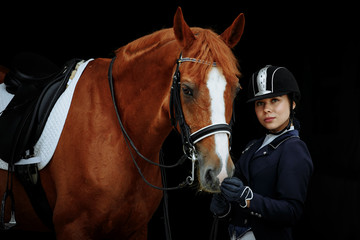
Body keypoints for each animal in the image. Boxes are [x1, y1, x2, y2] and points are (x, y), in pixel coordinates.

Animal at [0, 7, 245, 240]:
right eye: (186, 89)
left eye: (236, 90)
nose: (220, 172)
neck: (121, 134)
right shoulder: (73, 228)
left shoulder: (135, 230)